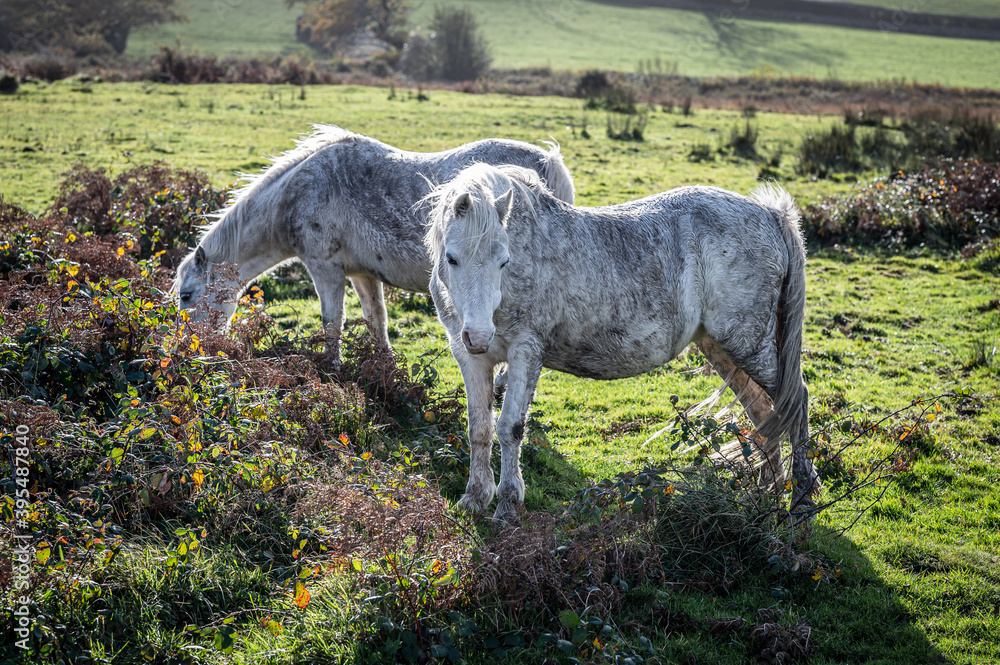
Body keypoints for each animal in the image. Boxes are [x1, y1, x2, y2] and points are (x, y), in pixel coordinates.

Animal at [171, 125, 575, 363]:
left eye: (186, 296)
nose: (188, 347)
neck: (297, 193)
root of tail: (547, 163)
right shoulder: (362, 274)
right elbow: (375, 321)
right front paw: (386, 369)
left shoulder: (326, 270)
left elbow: (331, 321)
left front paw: (332, 367)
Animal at [423, 163, 819, 525]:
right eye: (452, 258)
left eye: (504, 261)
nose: (479, 336)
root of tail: (770, 215)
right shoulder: (470, 358)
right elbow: (479, 428)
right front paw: (475, 498)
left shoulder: (525, 351)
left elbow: (510, 429)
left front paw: (507, 506)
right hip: (723, 348)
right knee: (763, 411)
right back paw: (767, 492)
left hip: (748, 344)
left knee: (795, 400)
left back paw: (800, 501)